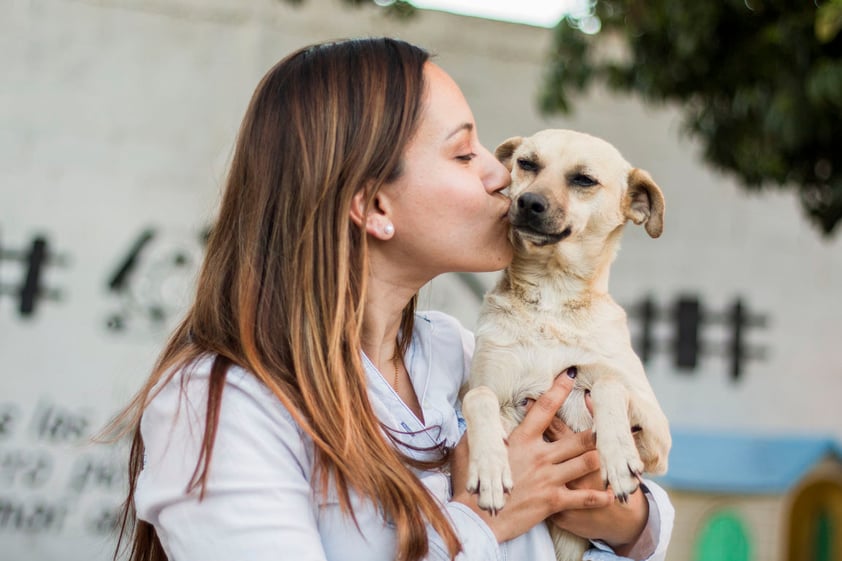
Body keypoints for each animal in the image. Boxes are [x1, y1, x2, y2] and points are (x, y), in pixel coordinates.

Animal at [460, 129, 668, 556]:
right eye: (527, 164)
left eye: (584, 180)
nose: (528, 202)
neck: (550, 301)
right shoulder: (490, 389)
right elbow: (479, 397)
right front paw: (489, 466)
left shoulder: (658, 436)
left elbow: (607, 383)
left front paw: (617, 454)